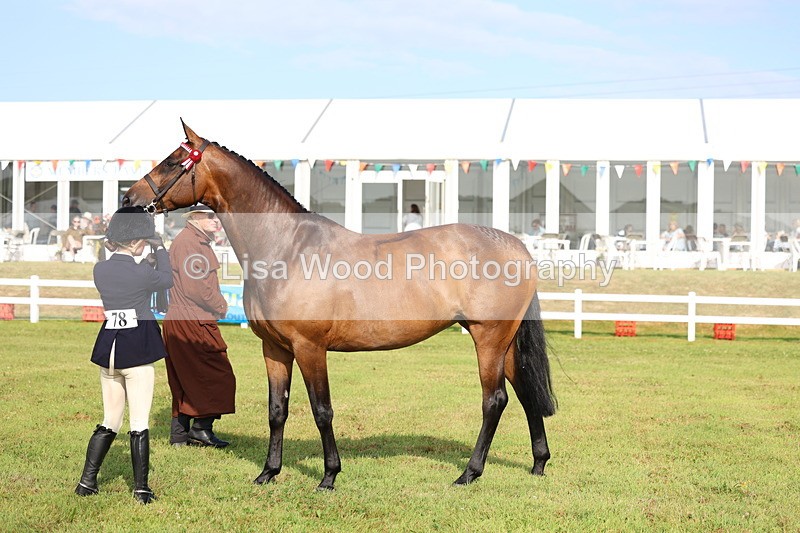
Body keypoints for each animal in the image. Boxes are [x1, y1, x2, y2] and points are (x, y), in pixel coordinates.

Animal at [123, 120, 556, 491]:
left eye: (173, 162)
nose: (129, 198)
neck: (287, 248)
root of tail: (516, 246)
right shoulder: (275, 348)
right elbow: (276, 411)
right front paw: (268, 472)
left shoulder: (310, 348)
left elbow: (322, 410)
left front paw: (329, 475)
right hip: (505, 342)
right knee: (525, 393)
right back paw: (538, 463)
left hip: (488, 339)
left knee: (494, 400)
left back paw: (469, 473)